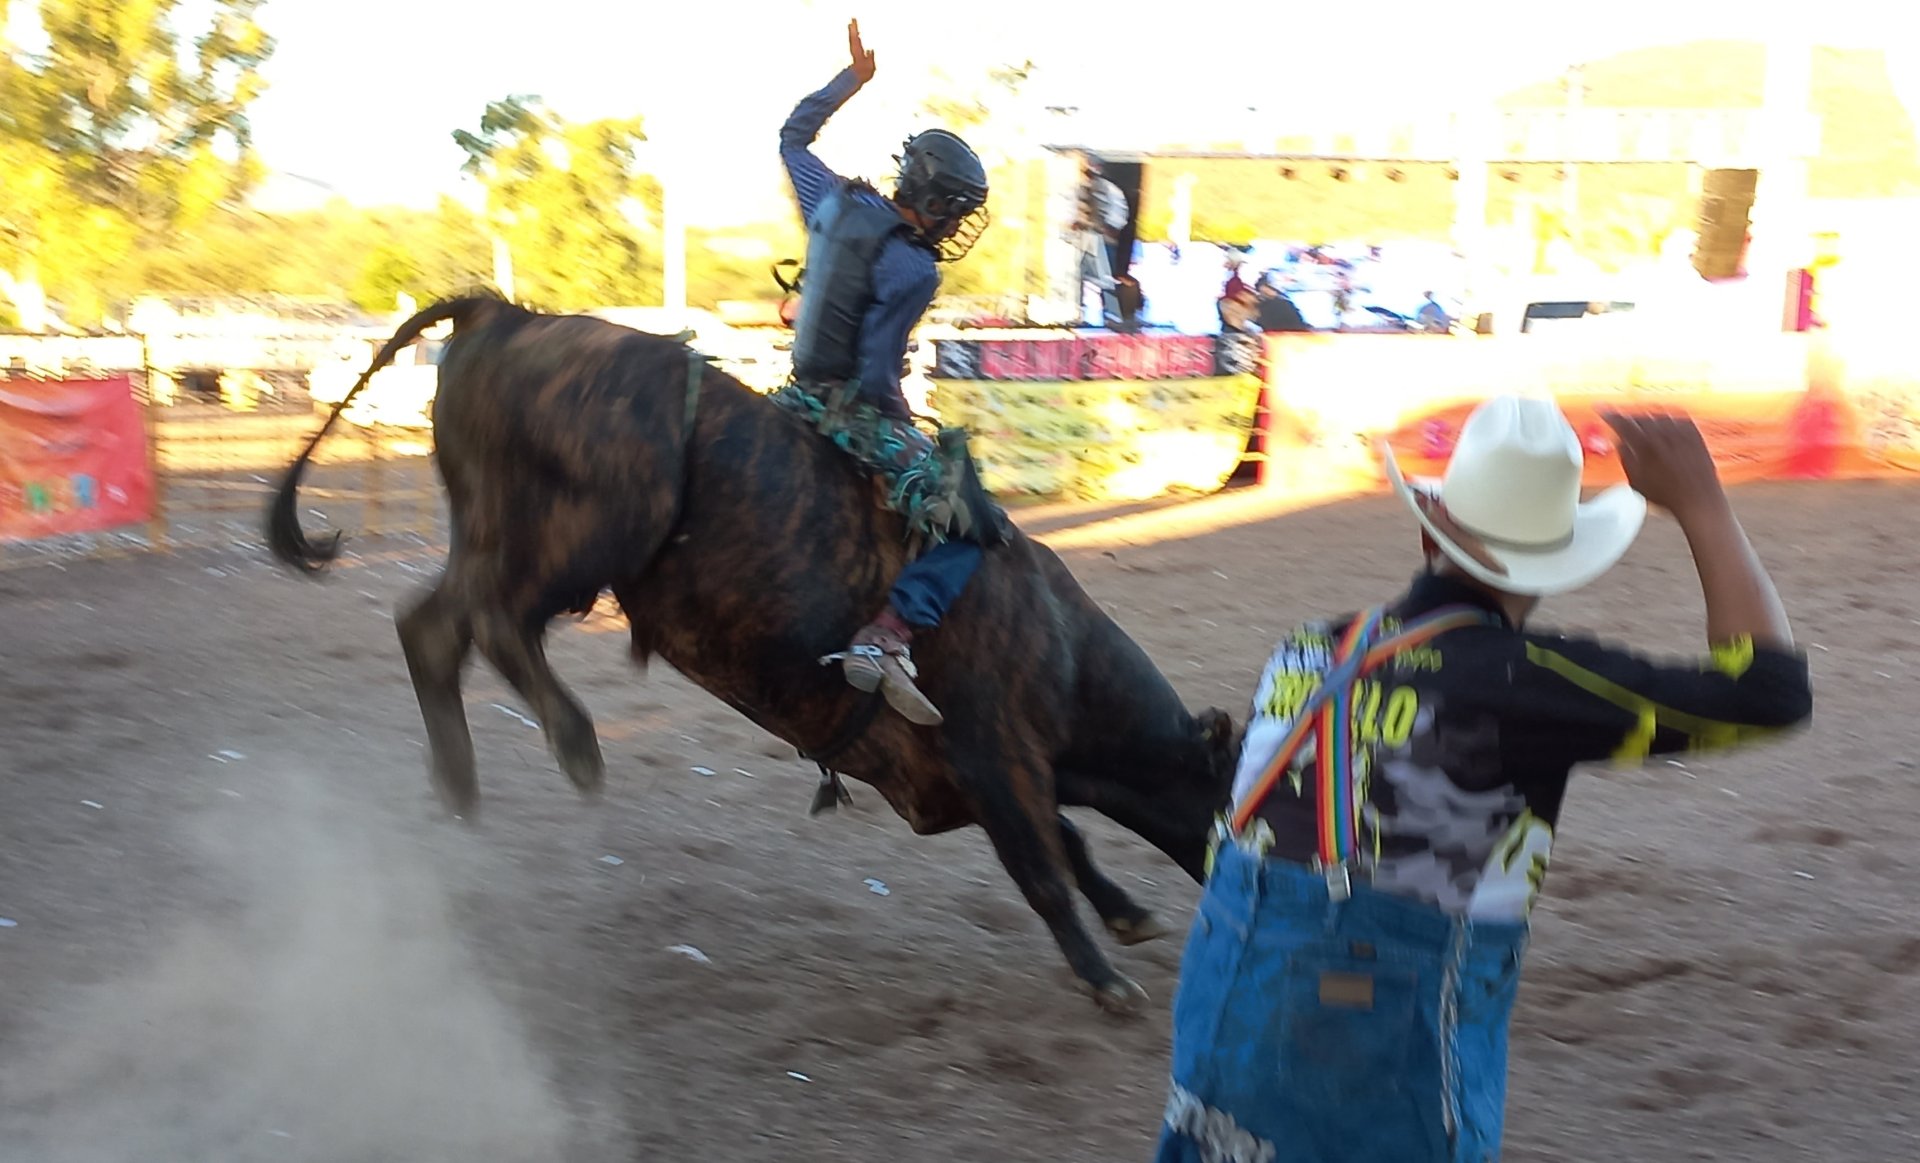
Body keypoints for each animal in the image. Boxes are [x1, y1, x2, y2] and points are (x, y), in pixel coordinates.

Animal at [266, 299, 1228, 1013]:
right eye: (1229, 798)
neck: (1057, 644)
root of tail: (506, 314)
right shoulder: (997, 755)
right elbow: (1045, 866)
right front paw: (1107, 978)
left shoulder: (977, 776)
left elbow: (1071, 842)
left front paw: (1131, 915)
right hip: (586, 533)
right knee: (497, 626)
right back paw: (574, 741)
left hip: (492, 534)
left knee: (433, 629)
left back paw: (461, 794)